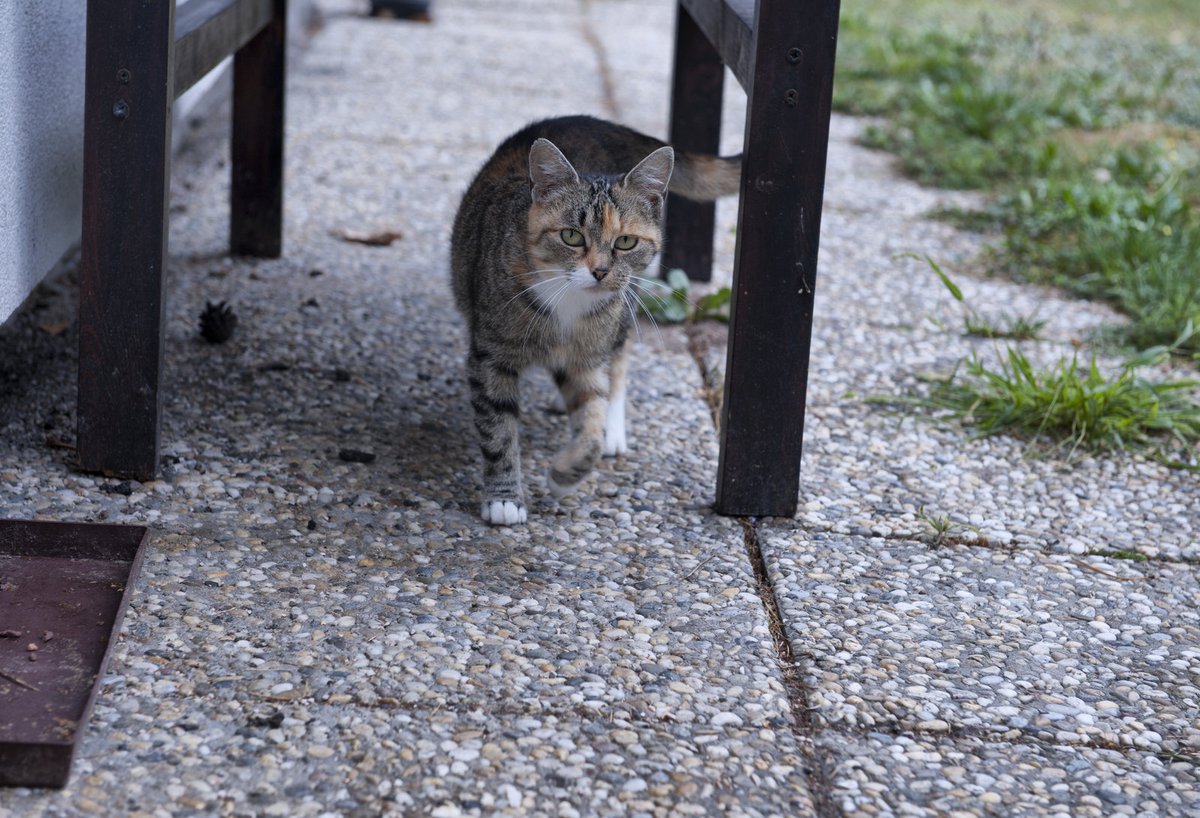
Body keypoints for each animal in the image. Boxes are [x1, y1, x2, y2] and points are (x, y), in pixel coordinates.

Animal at [451, 114, 739, 522]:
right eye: (571, 236)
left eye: (625, 242)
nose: (601, 272)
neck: (568, 301)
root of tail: (595, 123)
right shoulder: (491, 356)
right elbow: (498, 429)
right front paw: (504, 498)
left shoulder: (588, 358)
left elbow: (592, 419)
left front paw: (565, 474)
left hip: (625, 307)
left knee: (617, 359)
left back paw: (611, 428)